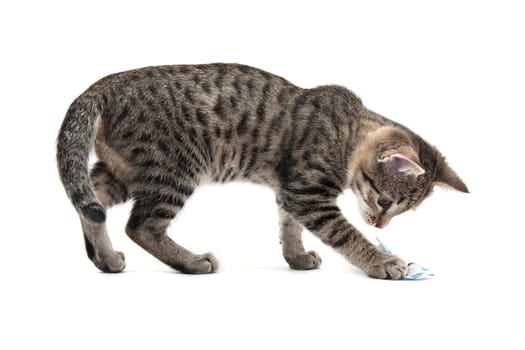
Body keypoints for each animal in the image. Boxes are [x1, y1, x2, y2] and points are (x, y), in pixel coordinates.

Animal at [57, 63, 466, 278]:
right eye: (384, 201)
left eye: (400, 209)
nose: (380, 225)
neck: (347, 131)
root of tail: (103, 85)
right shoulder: (308, 193)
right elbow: (344, 233)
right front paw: (380, 261)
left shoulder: (290, 191)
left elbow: (289, 227)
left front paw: (296, 257)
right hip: (177, 168)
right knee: (141, 226)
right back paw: (191, 262)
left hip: (123, 171)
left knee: (89, 202)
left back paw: (105, 258)